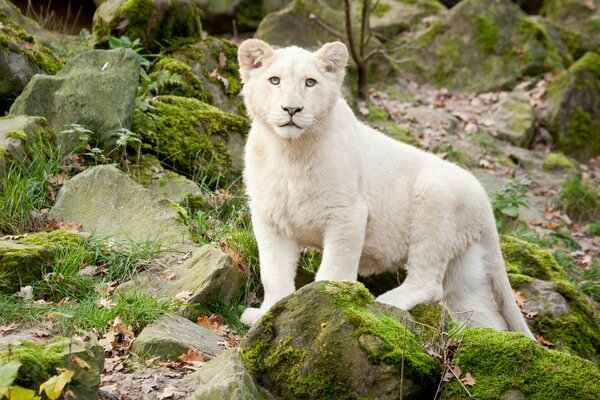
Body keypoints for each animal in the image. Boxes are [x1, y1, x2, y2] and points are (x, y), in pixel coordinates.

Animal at [234, 37, 536, 340]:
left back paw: (387, 303)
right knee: (480, 311)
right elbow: (273, 273)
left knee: (429, 284)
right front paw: (267, 314)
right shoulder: (270, 218)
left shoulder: (348, 214)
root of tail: (484, 200)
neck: (290, 151)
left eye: (310, 82)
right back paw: (493, 340)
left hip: (435, 205)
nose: (292, 109)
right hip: (465, 264)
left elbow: (333, 269)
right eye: (274, 80)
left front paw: (326, 302)